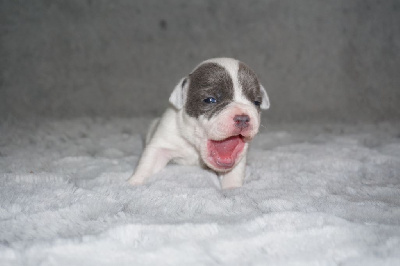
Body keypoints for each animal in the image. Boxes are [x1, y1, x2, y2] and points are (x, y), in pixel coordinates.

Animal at [130, 57, 270, 188]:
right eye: (210, 100)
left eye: (257, 102)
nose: (243, 118)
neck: (196, 147)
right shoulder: (162, 143)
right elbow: (147, 164)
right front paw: (134, 183)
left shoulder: (238, 159)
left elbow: (233, 174)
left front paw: (233, 189)